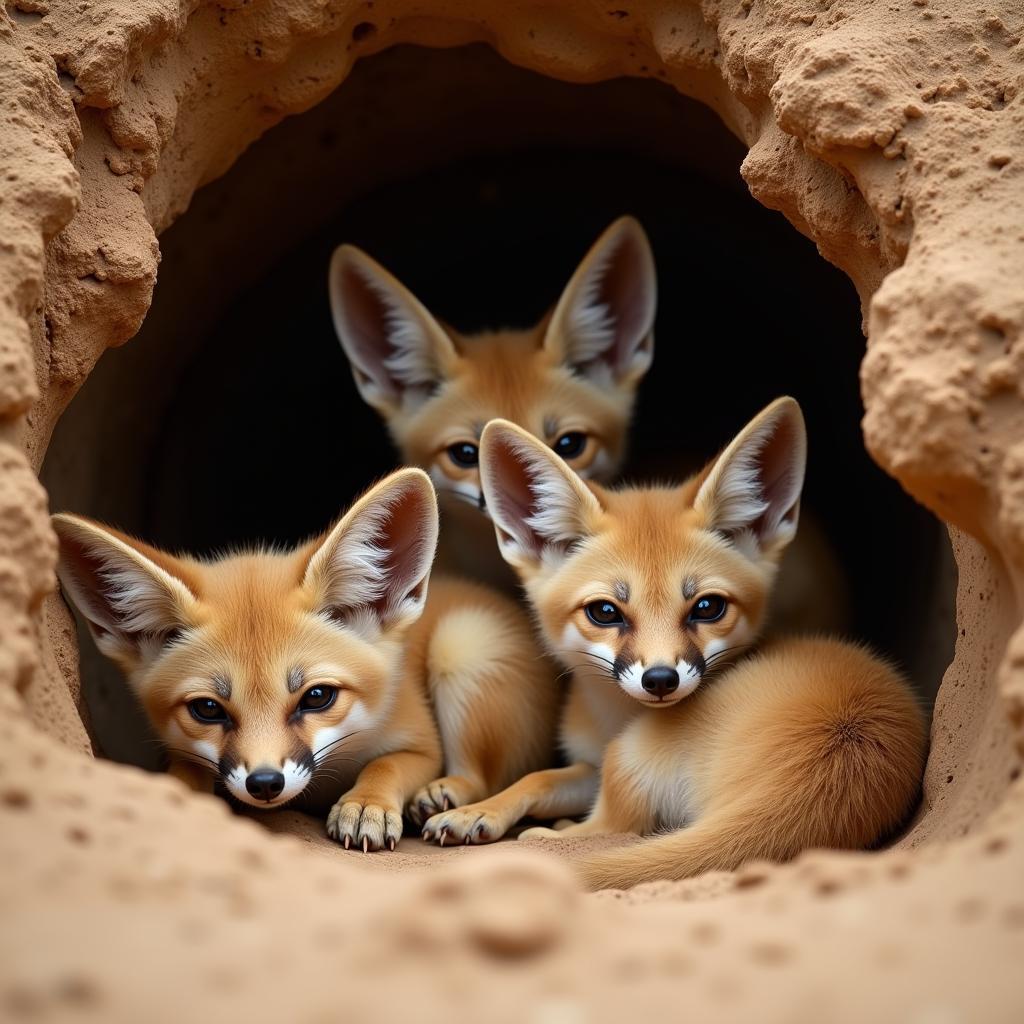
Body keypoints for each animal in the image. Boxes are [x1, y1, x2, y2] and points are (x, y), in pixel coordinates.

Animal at [51, 468, 557, 847]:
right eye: (208, 709)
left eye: (316, 697)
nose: (265, 783)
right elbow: (185, 768)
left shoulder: (421, 743)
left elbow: (386, 764)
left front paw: (366, 803)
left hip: (463, 648)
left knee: (481, 777)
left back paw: (447, 796)